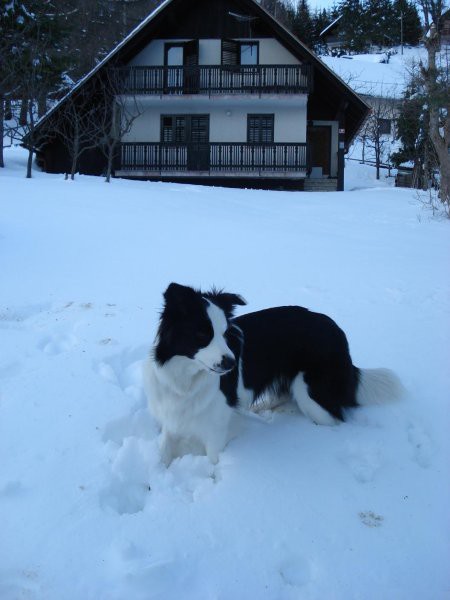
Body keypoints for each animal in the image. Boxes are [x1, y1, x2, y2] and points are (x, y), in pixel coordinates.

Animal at [143, 284, 400, 466]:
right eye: (202, 335)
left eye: (225, 334)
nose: (231, 362)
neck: (186, 378)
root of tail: (337, 331)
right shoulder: (172, 415)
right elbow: (163, 452)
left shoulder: (215, 425)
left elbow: (213, 461)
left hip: (310, 393)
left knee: (335, 419)